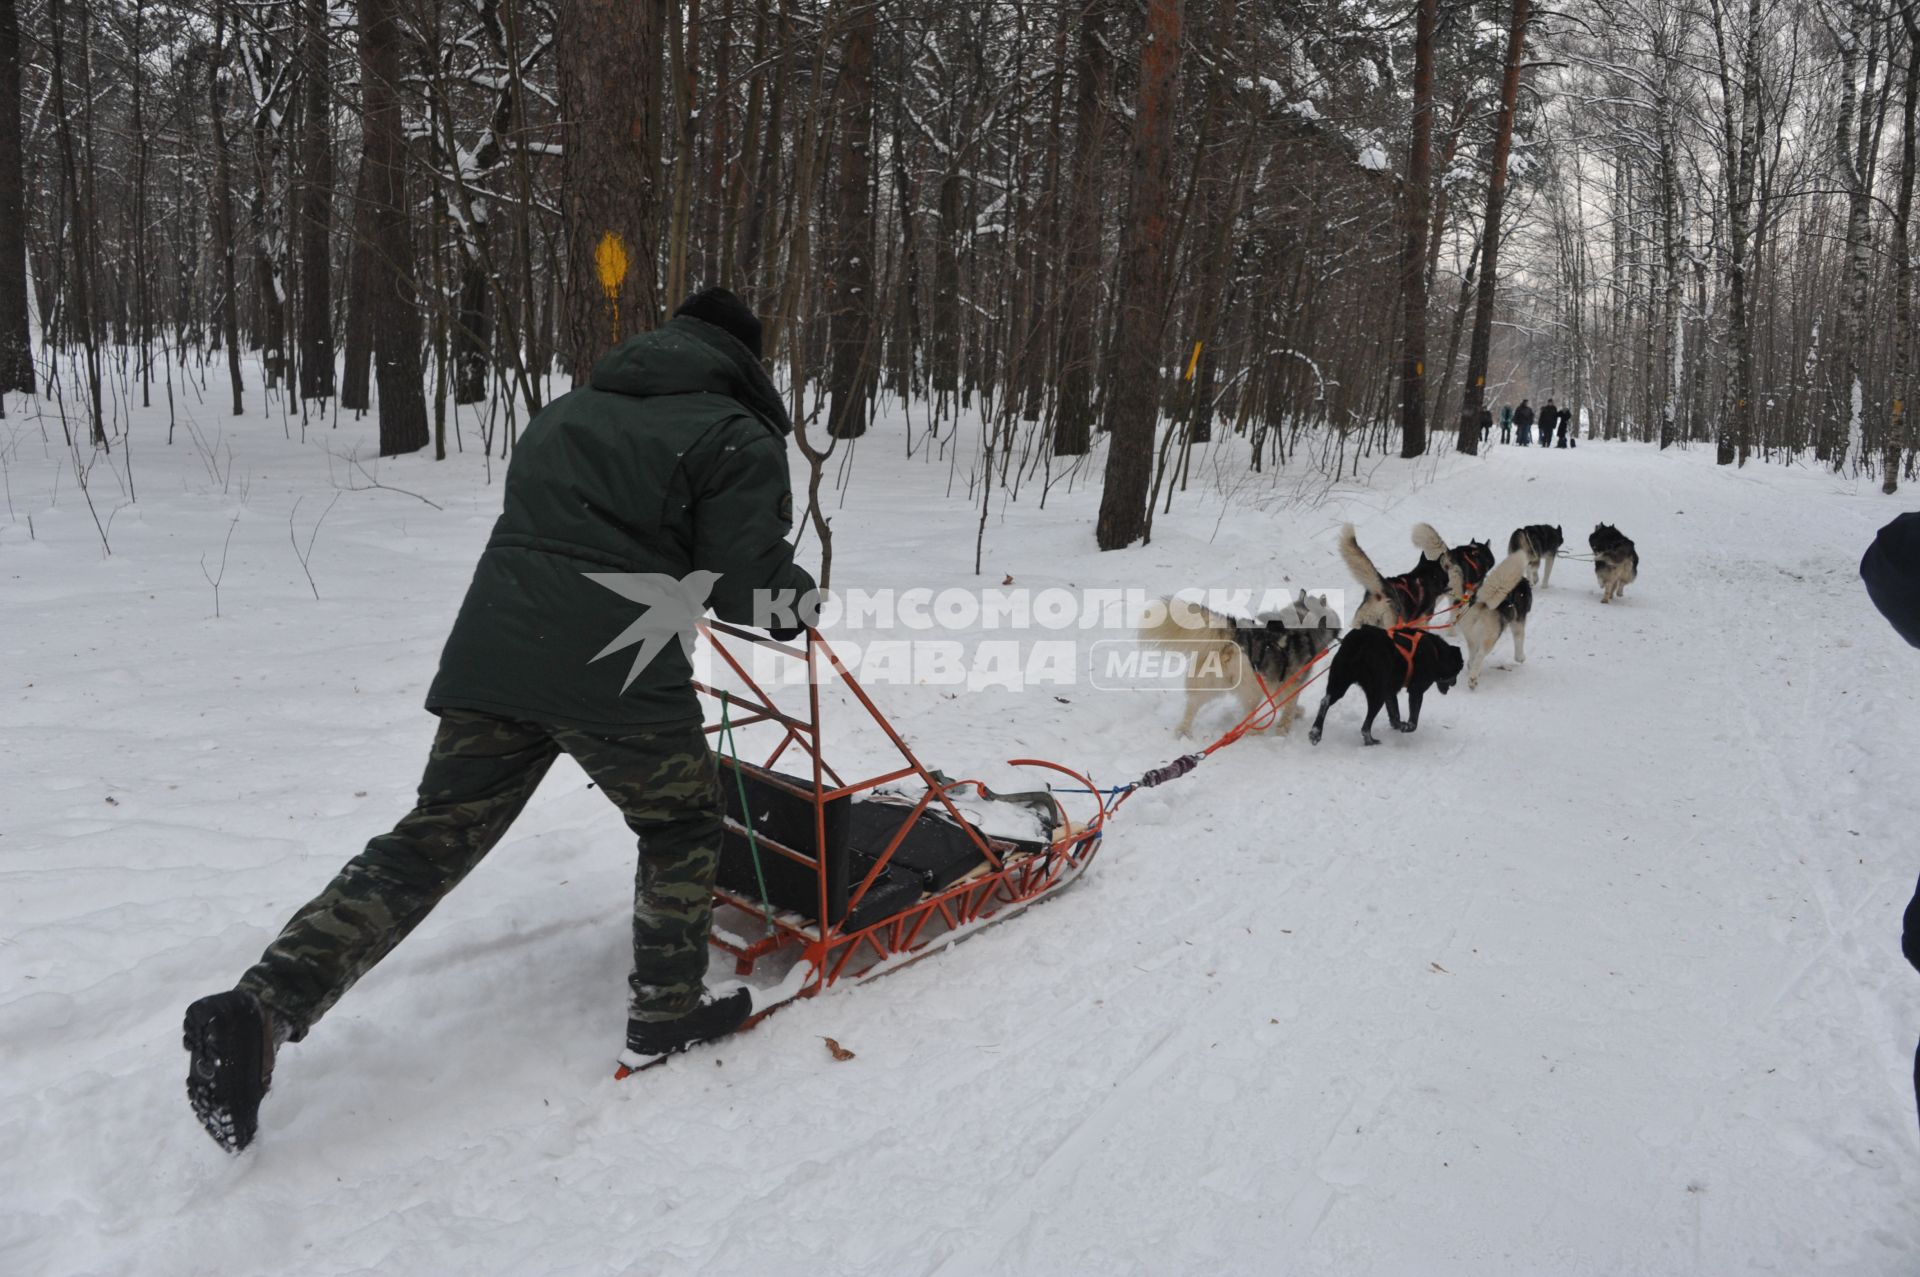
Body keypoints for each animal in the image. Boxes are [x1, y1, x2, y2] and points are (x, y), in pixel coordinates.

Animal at [1136, 591, 1336, 737]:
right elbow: (1288, 707)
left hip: (1209, 684)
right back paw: (1255, 732)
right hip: (1253, 689)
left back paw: (1183, 731)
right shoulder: (1289, 683)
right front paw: (1285, 727)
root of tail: (1235, 635)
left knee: (1192, 707)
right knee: (1248, 716)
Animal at [1305, 626, 1466, 748]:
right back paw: (1369, 740)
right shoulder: (1416, 691)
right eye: (1457, 671)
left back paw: (1316, 732)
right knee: (1365, 727)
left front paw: (1398, 724)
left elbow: (1395, 715)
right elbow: (1413, 722)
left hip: (1339, 682)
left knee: (1325, 701)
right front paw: (1405, 726)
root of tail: (1360, 640)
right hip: (1377, 695)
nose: (1454, 683)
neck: (1436, 652)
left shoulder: (1390, 692)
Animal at [1451, 549, 1528, 687]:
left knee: (1473, 656)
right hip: (1490, 638)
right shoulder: (1519, 621)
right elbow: (1519, 639)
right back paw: (1473, 679)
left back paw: (1472, 670)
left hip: (1471, 637)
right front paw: (1520, 658)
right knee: (1480, 655)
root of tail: (1482, 604)